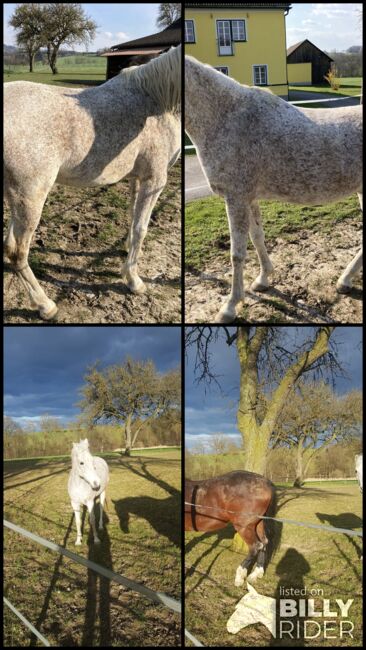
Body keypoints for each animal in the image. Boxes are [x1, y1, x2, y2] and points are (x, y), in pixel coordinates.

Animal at [2, 45, 180, 318]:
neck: (157, 100)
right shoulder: (155, 180)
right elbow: (142, 228)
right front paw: (134, 281)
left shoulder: (138, 178)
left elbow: (132, 218)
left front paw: (126, 250)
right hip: (29, 197)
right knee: (17, 252)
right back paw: (46, 306)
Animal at [184, 54, 362, 322]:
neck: (226, 117)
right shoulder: (249, 198)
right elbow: (257, 237)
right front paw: (263, 279)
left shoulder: (235, 197)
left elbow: (237, 254)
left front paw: (230, 306)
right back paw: (345, 280)